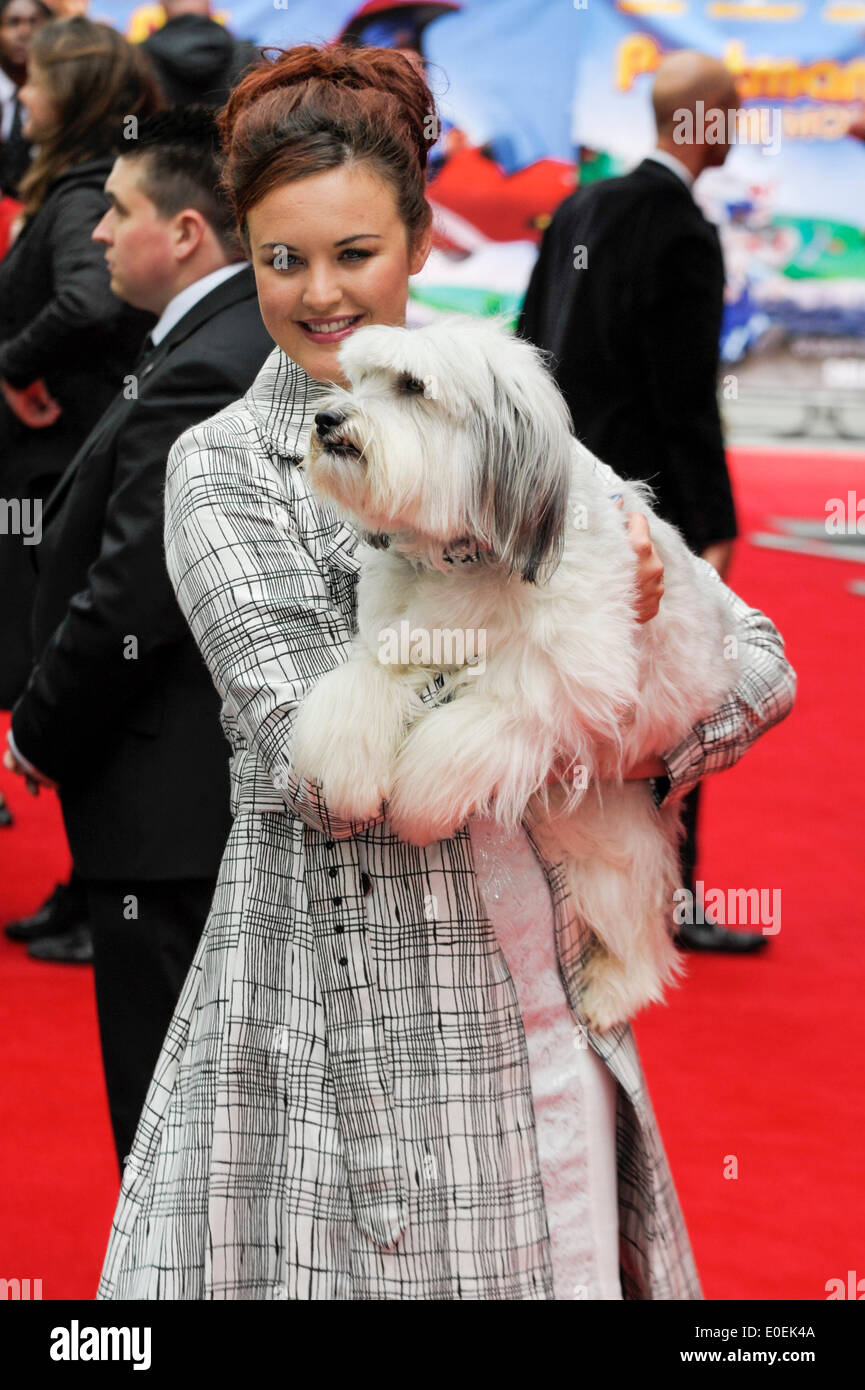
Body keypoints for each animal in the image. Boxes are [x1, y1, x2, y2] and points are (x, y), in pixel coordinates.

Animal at [293, 318, 745, 1034]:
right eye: (357, 378)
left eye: (412, 385)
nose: (326, 418)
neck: (467, 555)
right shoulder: (402, 638)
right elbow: (363, 684)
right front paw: (345, 770)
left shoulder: (569, 680)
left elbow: (482, 722)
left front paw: (419, 801)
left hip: (612, 845)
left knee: (642, 929)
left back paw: (613, 991)